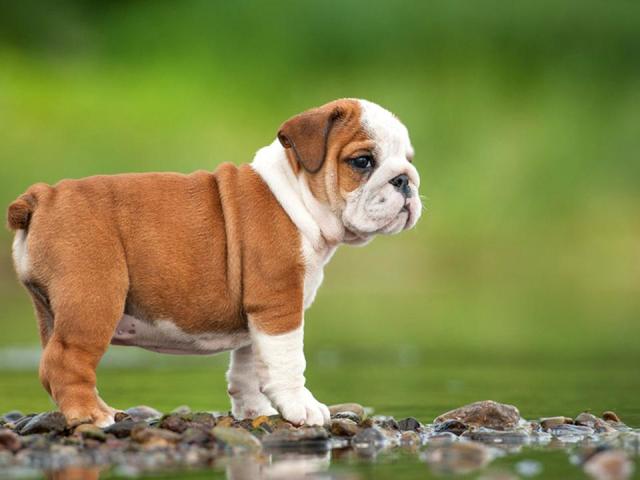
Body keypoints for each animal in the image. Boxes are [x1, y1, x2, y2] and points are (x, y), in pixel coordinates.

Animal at [10, 98, 422, 428]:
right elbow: (287, 362)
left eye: (408, 161)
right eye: (362, 162)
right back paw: (94, 415)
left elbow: (248, 368)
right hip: (94, 301)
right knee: (66, 362)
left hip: (53, 310)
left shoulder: (257, 317)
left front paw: (254, 411)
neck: (296, 195)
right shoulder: (278, 306)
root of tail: (43, 196)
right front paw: (301, 407)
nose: (406, 180)